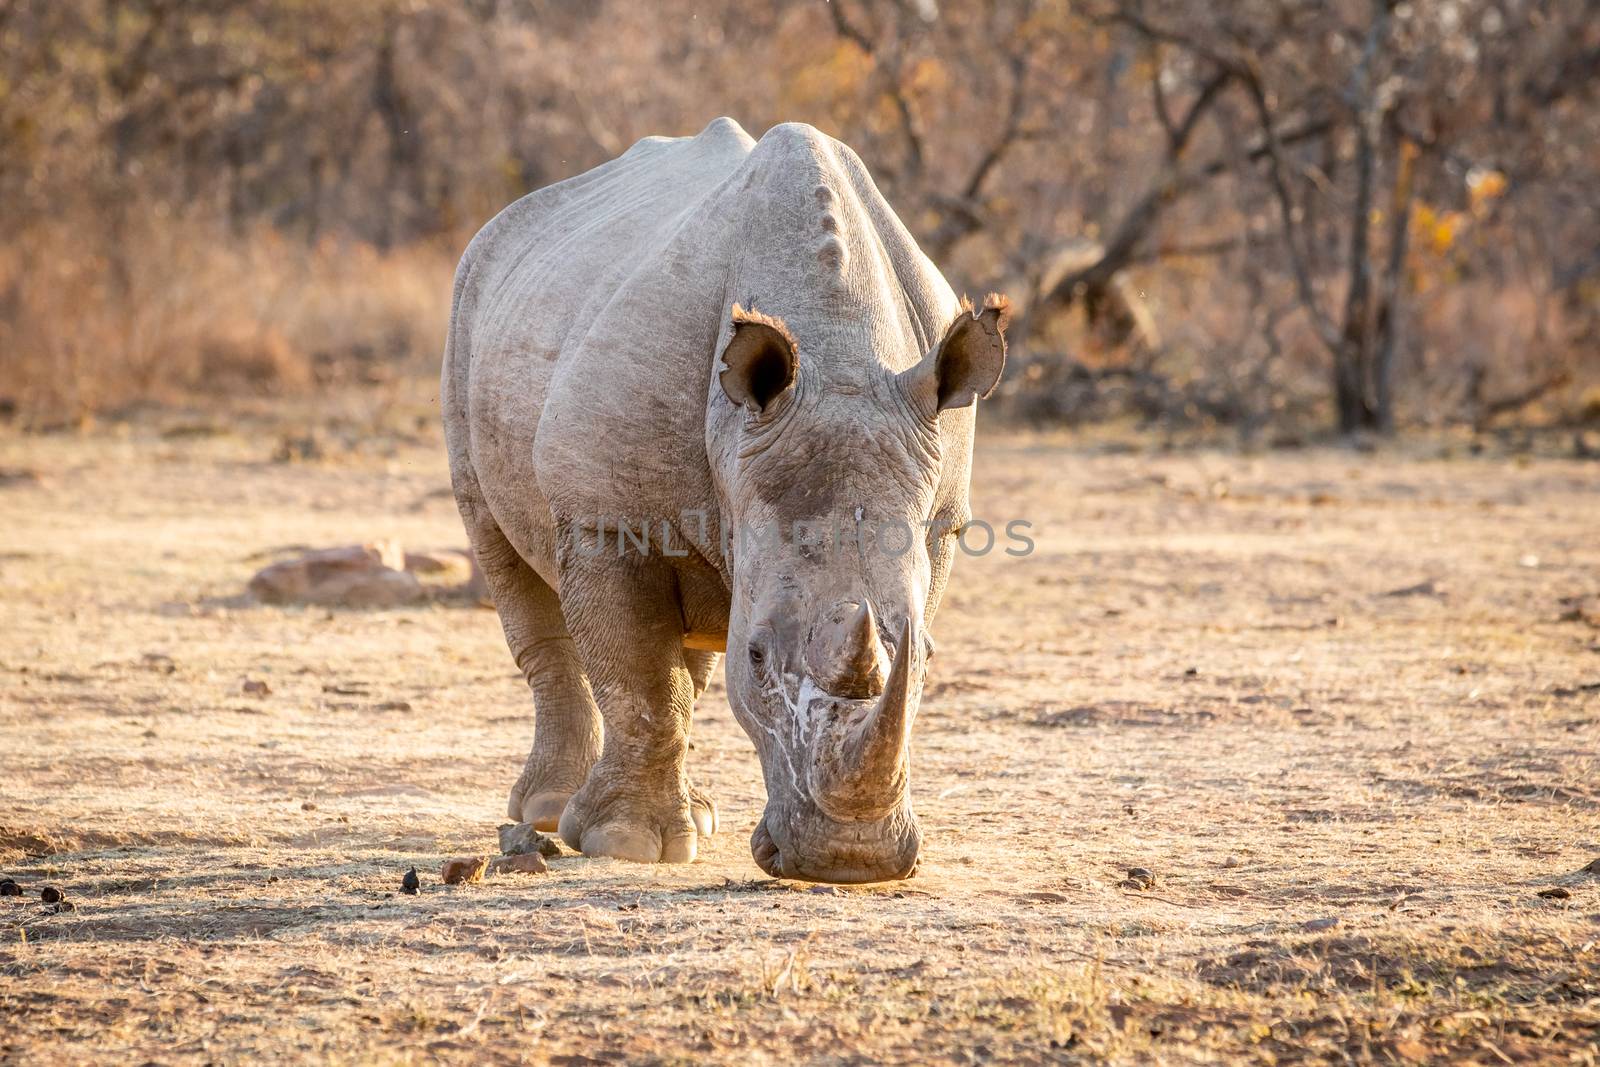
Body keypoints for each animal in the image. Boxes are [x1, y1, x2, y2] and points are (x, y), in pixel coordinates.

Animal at [444, 119, 1004, 883]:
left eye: (927, 659)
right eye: (760, 657)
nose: (850, 860)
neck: (838, 348)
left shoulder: (938, 524)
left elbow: (665, 672)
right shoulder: (605, 518)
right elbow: (640, 678)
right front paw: (626, 842)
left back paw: (691, 813)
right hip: (470, 300)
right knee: (503, 554)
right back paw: (548, 813)